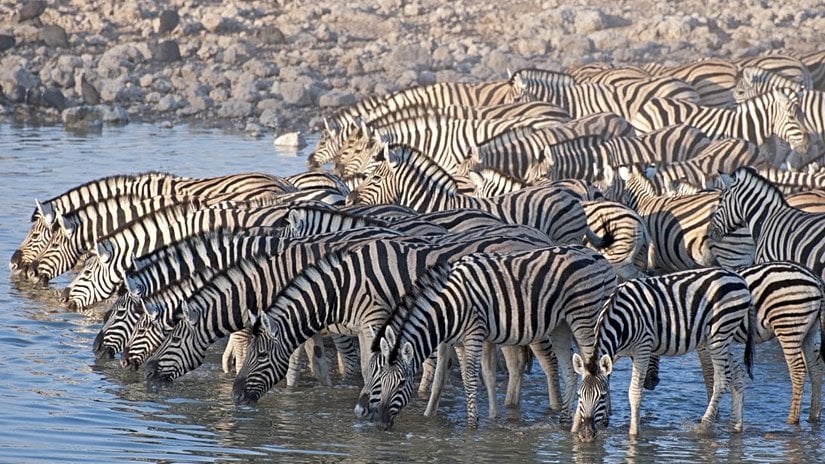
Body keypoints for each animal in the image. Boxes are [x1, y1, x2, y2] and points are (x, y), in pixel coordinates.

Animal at [362, 245, 616, 429]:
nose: (380, 424)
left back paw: (592, 421)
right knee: (570, 371)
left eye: (402, 383)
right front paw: (430, 415)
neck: (448, 307)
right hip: (561, 326)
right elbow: (449, 379)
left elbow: (472, 378)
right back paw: (565, 421)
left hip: (584, 318)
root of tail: (598, 256)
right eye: (378, 378)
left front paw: (471, 425)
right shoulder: (454, 341)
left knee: (595, 368)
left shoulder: (474, 334)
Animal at [572, 267, 754, 440]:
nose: (586, 435)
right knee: (738, 374)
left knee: (722, 379)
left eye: (602, 397)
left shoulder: (643, 347)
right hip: (719, 338)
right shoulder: (615, 353)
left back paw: (704, 425)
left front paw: (634, 433)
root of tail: (739, 279)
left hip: (720, 334)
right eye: (579, 396)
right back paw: (736, 426)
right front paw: (573, 430)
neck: (621, 319)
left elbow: (634, 392)